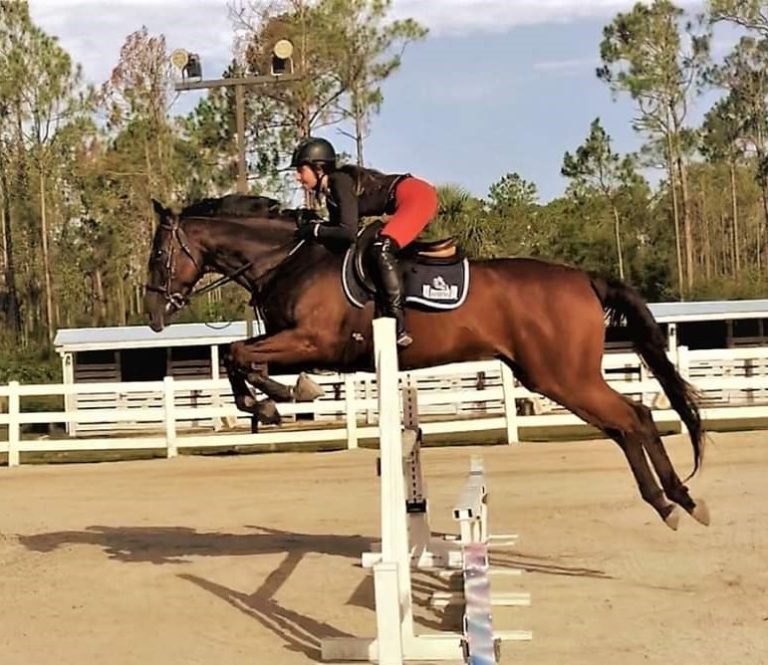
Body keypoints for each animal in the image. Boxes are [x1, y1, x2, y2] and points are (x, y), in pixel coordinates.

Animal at [144, 193, 708, 528]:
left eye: (158, 255)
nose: (152, 315)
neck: (289, 257)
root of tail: (584, 279)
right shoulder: (292, 340)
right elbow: (240, 358)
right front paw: (271, 401)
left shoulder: (311, 341)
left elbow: (240, 354)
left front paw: (278, 399)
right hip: (553, 377)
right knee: (626, 423)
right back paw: (673, 501)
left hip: (562, 376)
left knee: (634, 417)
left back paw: (677, 499)